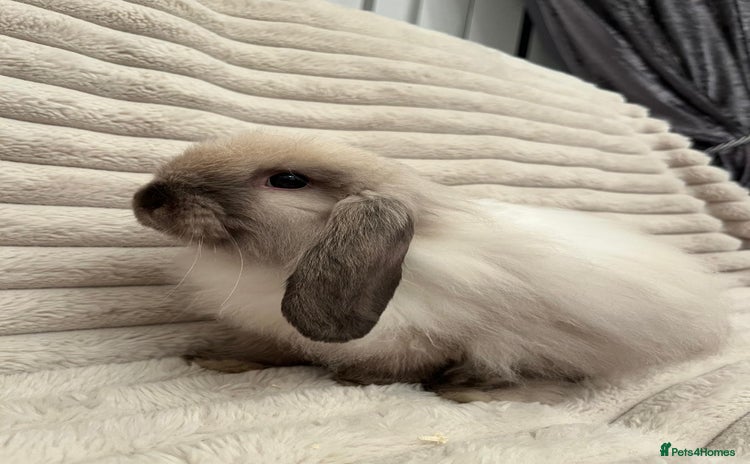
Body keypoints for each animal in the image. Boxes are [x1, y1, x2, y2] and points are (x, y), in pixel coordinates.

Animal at [133, 131, 730, 403]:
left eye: (287, 180)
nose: (148, 198)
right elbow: (274, 349)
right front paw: (217, 358)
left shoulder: (429, 335)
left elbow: (407, 365)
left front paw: (359, 378)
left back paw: (465, 389)